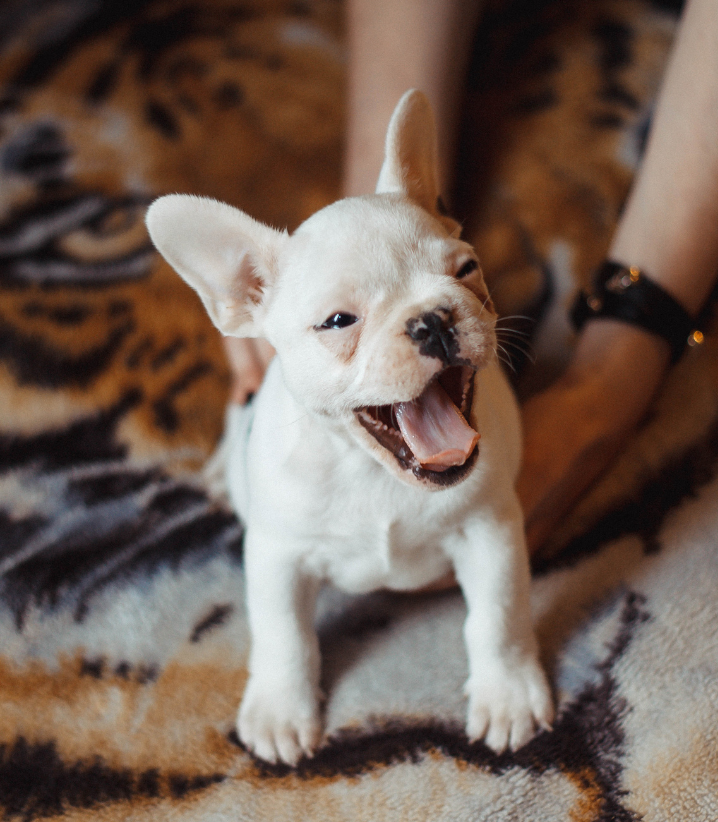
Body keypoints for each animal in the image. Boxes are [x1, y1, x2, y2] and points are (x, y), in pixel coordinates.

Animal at [148, 88, 556, 768]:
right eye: (339, 321)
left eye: (466, 269)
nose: (431, 319)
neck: (371, 468)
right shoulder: (277, 553)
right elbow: (283, 635)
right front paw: (281, 710)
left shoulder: (490, 528)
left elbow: (497, 614)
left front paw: (507, 695)